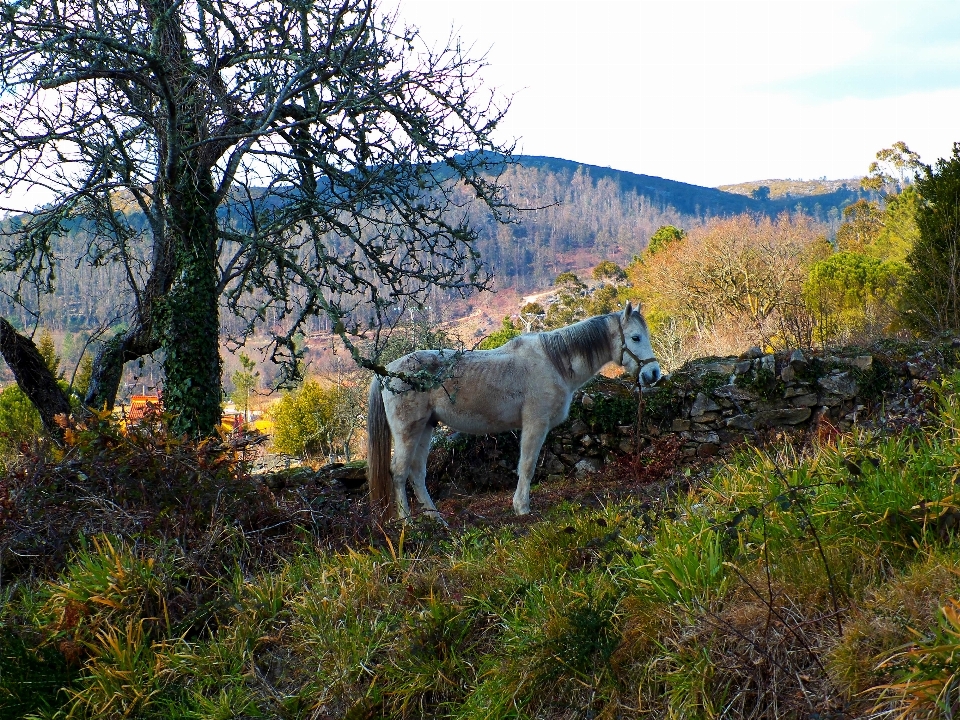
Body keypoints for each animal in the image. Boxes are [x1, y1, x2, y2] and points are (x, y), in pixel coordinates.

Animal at [368, 300, 660, 520]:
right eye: (635, 337)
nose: (653, 373)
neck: (553, 362)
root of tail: (388, 371)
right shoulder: (535, 424)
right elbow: (527, 466)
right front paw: (522, 507)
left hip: (426, 427)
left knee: (417, 472)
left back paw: (436, 518)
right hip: (408, 431)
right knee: (399, 472)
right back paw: (407, 521)